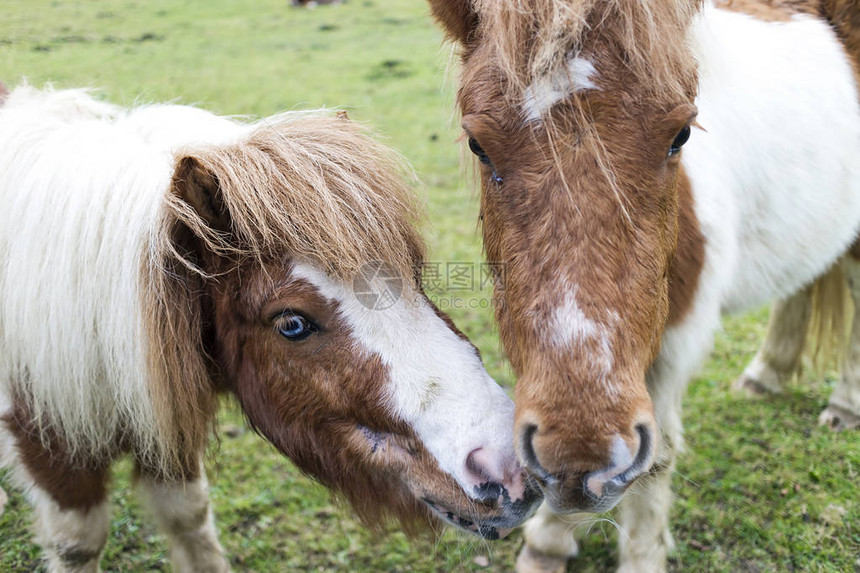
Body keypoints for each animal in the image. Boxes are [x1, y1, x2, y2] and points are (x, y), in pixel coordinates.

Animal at [0, 85, 536, 572]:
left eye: (413, 272)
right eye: (292, 323)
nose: (507, 466)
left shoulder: (162, 423)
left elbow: (188, 517)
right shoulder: (48, 445)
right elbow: (78, 543)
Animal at [434, 1, 860, 568]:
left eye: (681, 134)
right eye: (479, 144)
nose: (579, 451)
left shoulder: (678, 336)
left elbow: (656, 457)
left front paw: (638, 555)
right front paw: (549, 542)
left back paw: (844, 404)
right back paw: (766, 372)